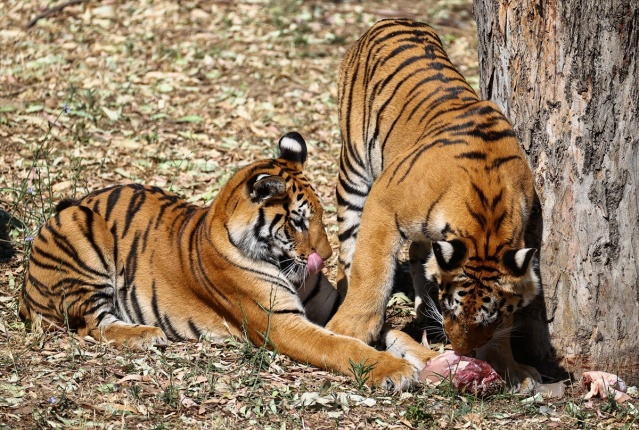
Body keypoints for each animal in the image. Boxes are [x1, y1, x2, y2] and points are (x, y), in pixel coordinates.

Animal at [20, 131, 440, 390]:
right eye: (298, 221)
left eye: (321, 214)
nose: (326, 256)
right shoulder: (280, 323)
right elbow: (342, 346)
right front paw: (396, 370)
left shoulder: (330, 307)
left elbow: (382, 331)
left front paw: (426, 356)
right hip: (82, 237)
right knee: (91, 324)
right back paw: (145, 335)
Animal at [328, 19, 544, 390]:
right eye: (451, 308)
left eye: (489, 316)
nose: (461, 350)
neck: (486, 222)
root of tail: (394, 20)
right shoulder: (384, 204)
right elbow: (371, 270)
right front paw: (348, 330)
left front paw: (510, 368)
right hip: (353, 168)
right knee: (348, 253)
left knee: (418, 254)